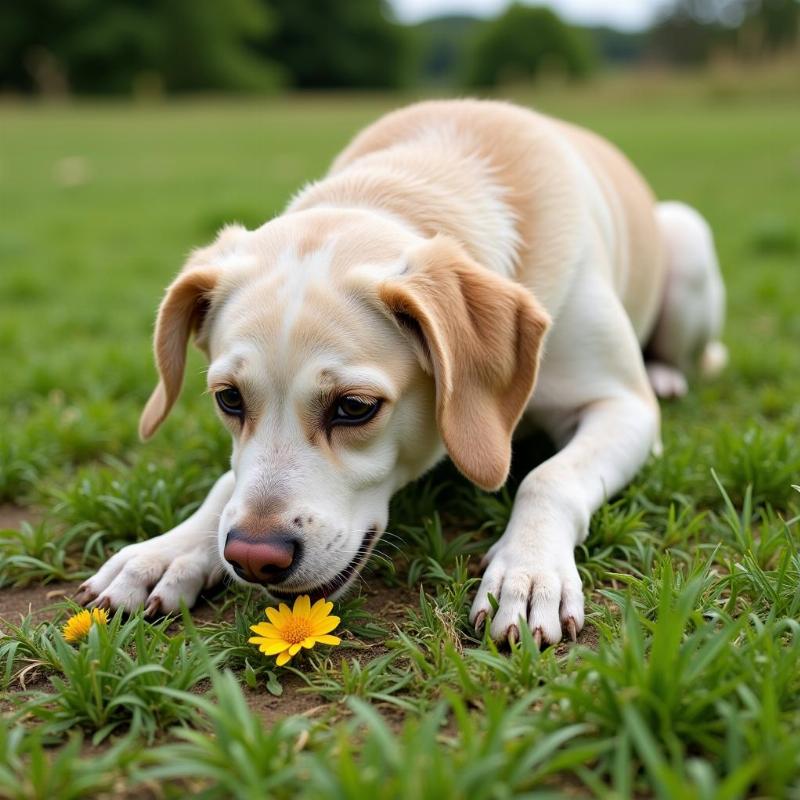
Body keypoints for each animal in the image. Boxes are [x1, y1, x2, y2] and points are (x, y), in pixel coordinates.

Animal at [76, 100, 724, 648]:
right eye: (228, 399)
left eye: (354, 407)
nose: (254, 557)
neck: (410, 182)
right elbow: (227, 483)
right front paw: (169, 550)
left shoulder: (623, 408)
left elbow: (550, 477)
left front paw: (528, 570)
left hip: (688, 238)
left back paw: (667, 374)